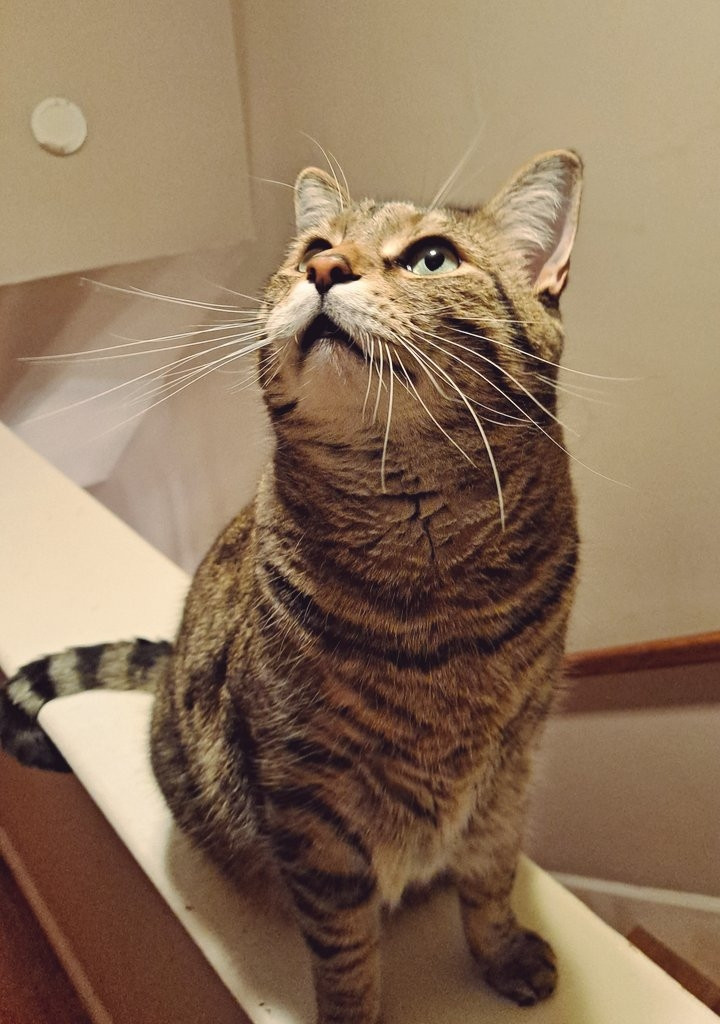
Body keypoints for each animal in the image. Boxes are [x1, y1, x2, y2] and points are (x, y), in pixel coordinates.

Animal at [0, 151, 581, 1024]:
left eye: (432, 257)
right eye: (315, 244)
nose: (324, 268)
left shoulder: (511, 768)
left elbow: (489, 878)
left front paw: (503, 954)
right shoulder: (310, 798)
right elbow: (345, 952)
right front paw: (354, 1010)